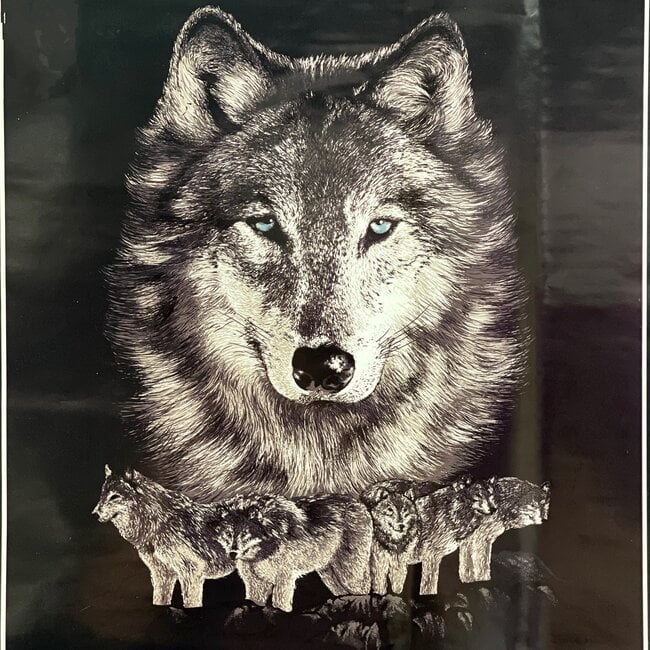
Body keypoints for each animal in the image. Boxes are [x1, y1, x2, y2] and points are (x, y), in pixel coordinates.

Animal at [92, 465, 234, 607]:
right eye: (102, 495)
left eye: (114, 496)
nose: (94, 513)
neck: (158, 523)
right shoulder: (162, 574)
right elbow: (159, 599)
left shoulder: (191, 573)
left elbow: (191, 602)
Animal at [212, 493, 373, 611]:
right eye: (228, 534)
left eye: (245, 534)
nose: (233, 554)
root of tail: (359, 504)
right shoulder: (255, 583)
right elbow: (254, 601)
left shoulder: (284, 578)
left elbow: (280, 604)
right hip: (328, 574)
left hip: (349, 573)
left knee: (364, 587)